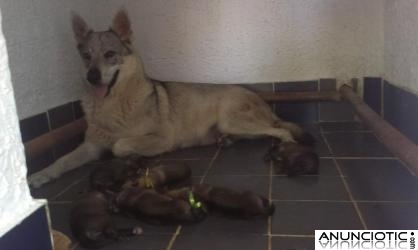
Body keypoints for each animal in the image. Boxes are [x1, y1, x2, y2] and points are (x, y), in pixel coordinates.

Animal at [28, 9, 314, 188]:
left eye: (110, 54)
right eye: (86, 56)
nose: (92, 76)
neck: (113, 105)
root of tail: (258, 96)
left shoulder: (160, 139)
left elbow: (120, 145)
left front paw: (126, 152)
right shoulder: (90, 146)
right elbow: (61, 160)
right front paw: (40, 176)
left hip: (234, 120)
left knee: (281, 132)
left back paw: (284, 148)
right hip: (234, 126)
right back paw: (227, 141)